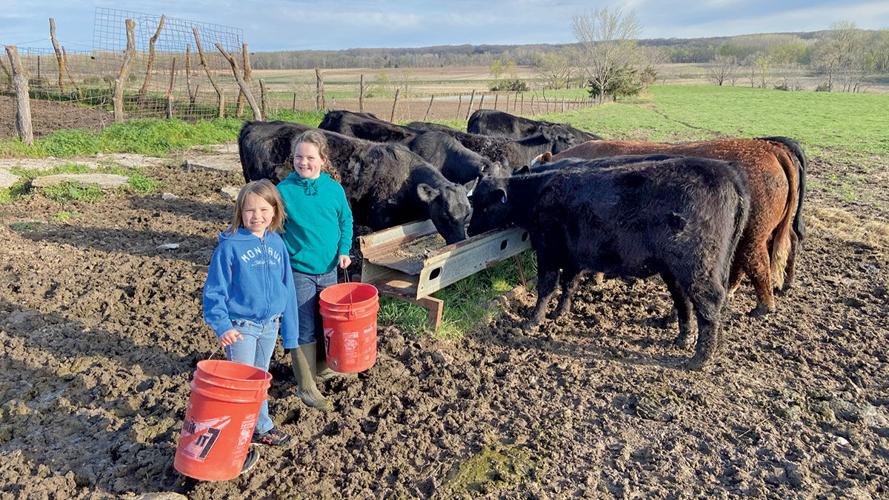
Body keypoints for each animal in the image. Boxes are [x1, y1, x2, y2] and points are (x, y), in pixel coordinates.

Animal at [467, 157, 751, 370]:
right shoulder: (574, 254)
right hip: (678, 269)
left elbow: (546, 287)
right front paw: (561, 312)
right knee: (686, 300)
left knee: (709, 301)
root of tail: (727, 174)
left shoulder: (548, 250)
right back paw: (689, 340)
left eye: (482, 204)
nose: (469, 231)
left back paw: (700, 359)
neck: (539, 191)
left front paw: (532, 321)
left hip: (697, 265)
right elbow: (569, 284)